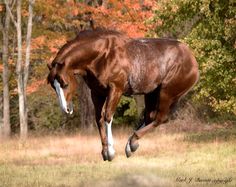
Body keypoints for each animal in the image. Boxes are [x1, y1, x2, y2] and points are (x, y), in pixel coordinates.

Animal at [46, 28, 199, 161]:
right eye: (53, 86)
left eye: (65, 84)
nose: (66, 109)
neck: (103, 55)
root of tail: (192, 60)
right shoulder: (97, 93)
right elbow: (98, 119)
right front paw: (104, 151)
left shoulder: (116, 89)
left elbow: (107, 116)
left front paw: (111, 152)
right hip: (151, 94)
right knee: (150, 117)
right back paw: (131, 145)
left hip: (166, 93)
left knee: (160, 118)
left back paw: (132, 143)